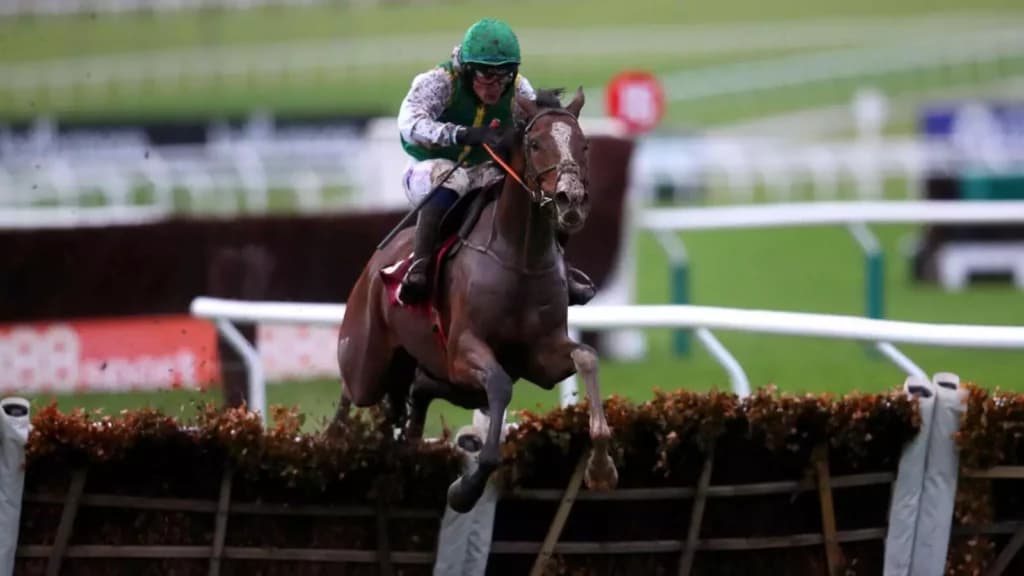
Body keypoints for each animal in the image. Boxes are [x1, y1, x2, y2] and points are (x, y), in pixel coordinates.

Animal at [335, 86, 618, 513]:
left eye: (583, 144)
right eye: (536, 144)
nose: (570, 200)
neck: (519, 259)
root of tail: (373, 268)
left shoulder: (541, 356)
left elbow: (586, 357)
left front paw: (600, 467)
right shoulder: (464, 348)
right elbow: (499, 386)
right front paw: (466, 488)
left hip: (449, 381)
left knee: (416, 391)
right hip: (369, 363)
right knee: (353, 393)